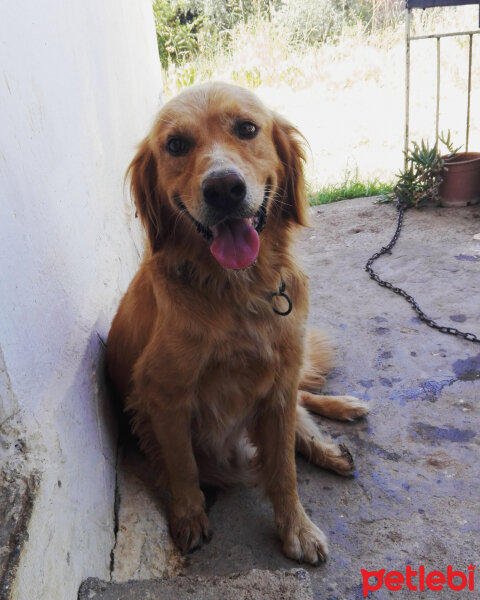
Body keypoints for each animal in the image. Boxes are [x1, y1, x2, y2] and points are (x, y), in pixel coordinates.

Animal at [106, 82, 368, 564]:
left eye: (247, 128)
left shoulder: (278, 384)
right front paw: (190, 518)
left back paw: (336, 428)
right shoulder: (164, 397)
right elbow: (183, 466)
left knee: (304, 406)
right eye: (176, 145)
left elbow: (284, 471)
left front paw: (296, 528)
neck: (237, 290)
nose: (224, 188)